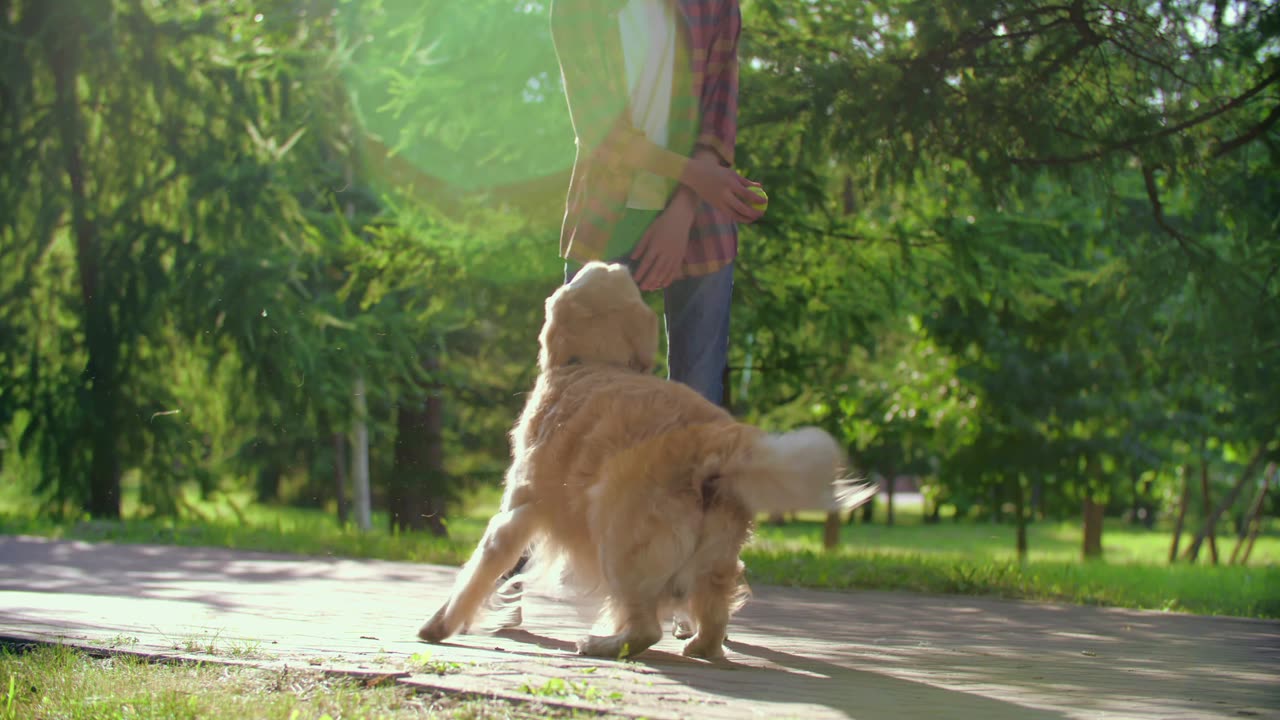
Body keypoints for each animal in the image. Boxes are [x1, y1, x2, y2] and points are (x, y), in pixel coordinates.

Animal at [417, 260, 870, 661]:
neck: (593, 362)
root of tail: (715, 441)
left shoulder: (517, 509)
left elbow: (480, 569)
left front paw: (438, 625)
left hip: (619, 540)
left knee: (646, 627)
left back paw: (600, 644)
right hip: (714, 555)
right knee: (711, 617)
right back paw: (696, 645)